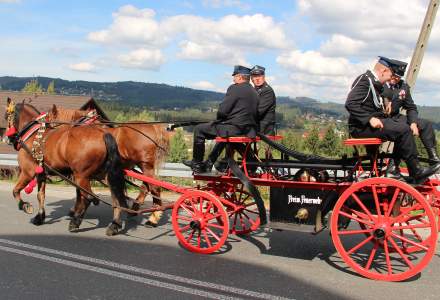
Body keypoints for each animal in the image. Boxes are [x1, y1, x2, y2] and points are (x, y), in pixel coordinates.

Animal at [5, 98, 129, 234]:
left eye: (6, 116)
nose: (7, 138)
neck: (34, 135)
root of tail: (102, 134)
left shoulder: (28, 172)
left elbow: (15, 190)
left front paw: (25, 206)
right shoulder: (41, 174)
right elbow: (40, 195)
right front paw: (39, 217)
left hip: (81, 176)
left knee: (88, 197)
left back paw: (75, 222)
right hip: (106, 175)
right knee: (116, 199)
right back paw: (114, 225)